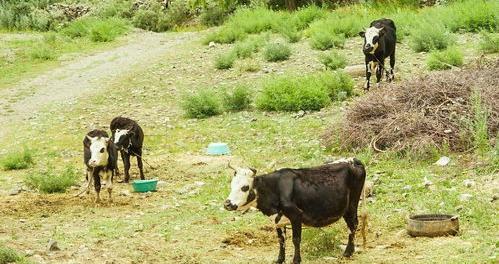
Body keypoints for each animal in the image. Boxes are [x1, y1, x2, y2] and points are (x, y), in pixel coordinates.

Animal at [225, 158, 370, 262]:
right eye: (231, 185)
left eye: (244, 187)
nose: (227, 204)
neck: (274, 188)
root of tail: (354, 160)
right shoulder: (278, 220)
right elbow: (281, 240)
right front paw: (279, 260)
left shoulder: (296, 216)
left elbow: (296, 240)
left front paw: (296, 260)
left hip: (352, 204)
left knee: (353, 225)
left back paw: (347, 252)